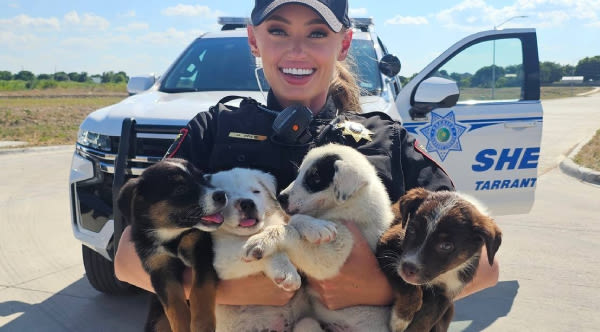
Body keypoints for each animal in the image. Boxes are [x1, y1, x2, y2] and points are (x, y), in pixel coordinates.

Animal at [117, 158, 227, 332]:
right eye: (181, 189)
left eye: (202, 178)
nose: (222, 194)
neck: (171, 237)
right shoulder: (160, 268)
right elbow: (174, 305)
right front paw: (183, 326)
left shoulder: (202, 252)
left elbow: (200, 290)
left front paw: (202, 324)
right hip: (155, 320)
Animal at [207, 169, 310, 332]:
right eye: (226, 196)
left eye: (256, 191)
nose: (247, 203)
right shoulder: (221, 261)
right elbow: (260, 251)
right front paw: (286, 273)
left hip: (305, 322)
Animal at [241, 144, 396, 330]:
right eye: (299, 172)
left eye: (315, 177)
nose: (280, 198)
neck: (350, 205)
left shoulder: (337, 249)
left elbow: (292, 225)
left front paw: (260, 241)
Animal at [380, 188, 502, 330]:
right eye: (412, 230)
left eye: (446, 246)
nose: (407, 269)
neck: (444, 274)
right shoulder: (388, 247)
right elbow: (411, 289)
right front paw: (400, 320)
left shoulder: (445, 295)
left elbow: (424, 321)